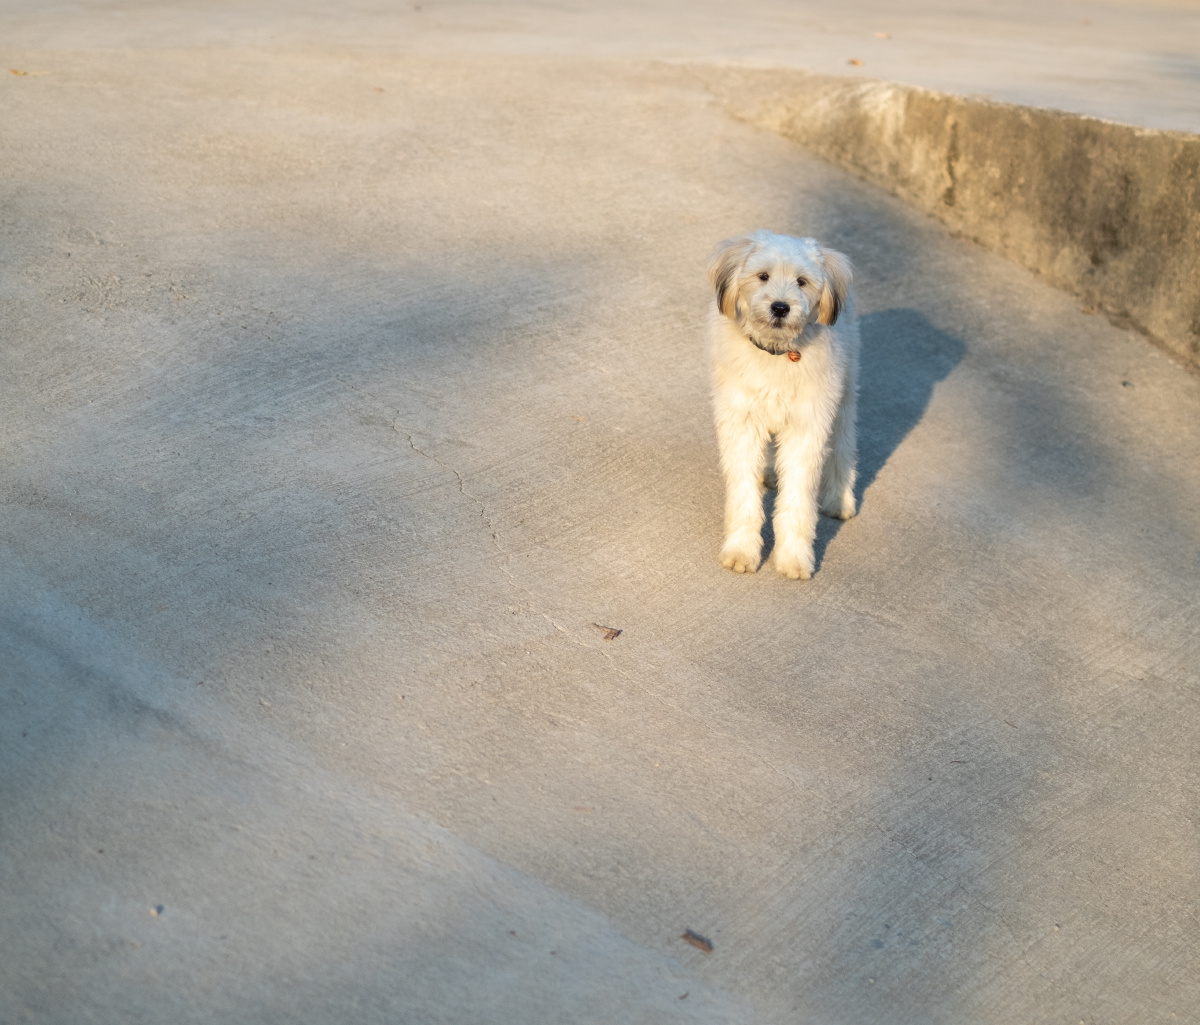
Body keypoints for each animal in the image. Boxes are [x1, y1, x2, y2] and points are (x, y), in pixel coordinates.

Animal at [706, 230, 859, 579]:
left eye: (801, 281)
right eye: (763, 276)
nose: (780, 307)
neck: (775, 354)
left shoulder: (807, 429)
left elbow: (797, 502)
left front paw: (793, 558)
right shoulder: (742, 424)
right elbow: (744, 497)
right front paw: (741, 551)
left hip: (844, 397)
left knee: (843, 448)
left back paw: (839, 499)